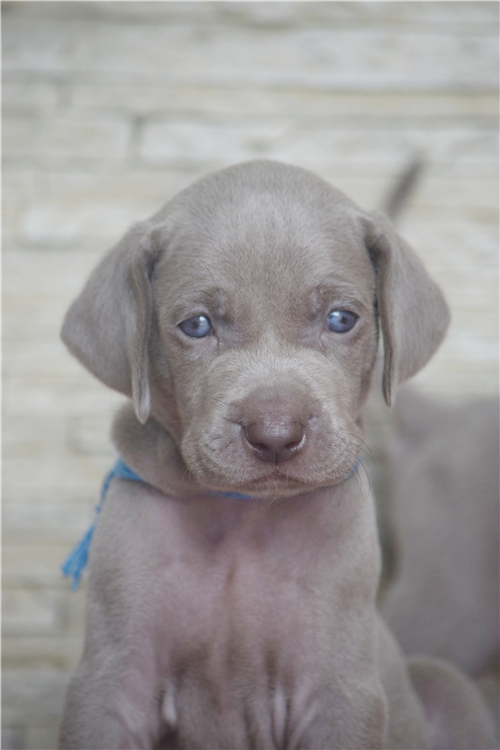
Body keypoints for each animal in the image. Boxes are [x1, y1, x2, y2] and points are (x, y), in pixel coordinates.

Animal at [59, 161, 495, 749]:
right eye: (197, 325)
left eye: (341, 318)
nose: (275, 434)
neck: (241, 514)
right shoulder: (114, 681)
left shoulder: (336, 688)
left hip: (445, 677)